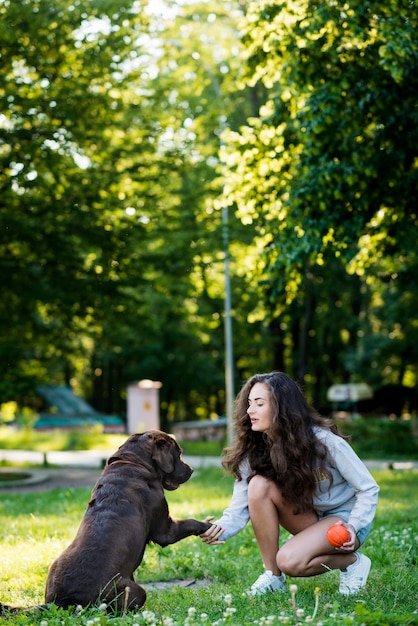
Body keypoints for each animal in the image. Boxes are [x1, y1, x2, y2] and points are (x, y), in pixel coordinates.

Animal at [43, 428, 209, 608]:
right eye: (178, 454)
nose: (191, 470)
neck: (133, 463)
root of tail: (61, 602)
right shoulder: (165, 530)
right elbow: (190, 522)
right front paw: (209, 527)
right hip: (134, 591)